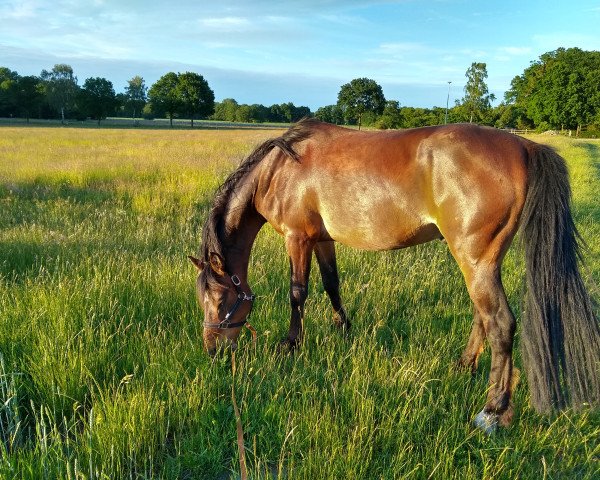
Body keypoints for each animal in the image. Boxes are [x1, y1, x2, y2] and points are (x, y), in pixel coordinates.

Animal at [191, 118, 600, 430]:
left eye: (220, 299)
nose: (211, 350)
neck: (278, 170)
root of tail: (525, 146)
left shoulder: (298, 239)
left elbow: (298, 292)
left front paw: (291, 344)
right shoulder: (322, 240)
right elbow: (331, 284)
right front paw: (345, 329)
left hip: (475, 258)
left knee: (499, 321)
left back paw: (492, 410)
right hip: (481, 262)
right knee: (482, 316)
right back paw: (463, 366)